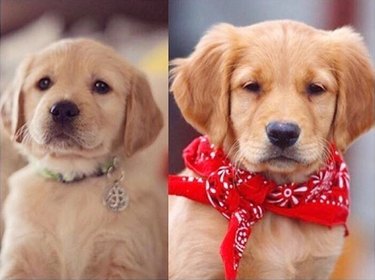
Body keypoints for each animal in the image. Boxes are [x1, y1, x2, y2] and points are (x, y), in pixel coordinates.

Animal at [0, 38, 166, 278]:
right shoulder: (21, 253)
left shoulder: (125, 255)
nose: (62, 109)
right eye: (44, 83)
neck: (72, 180)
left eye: (101, 86)